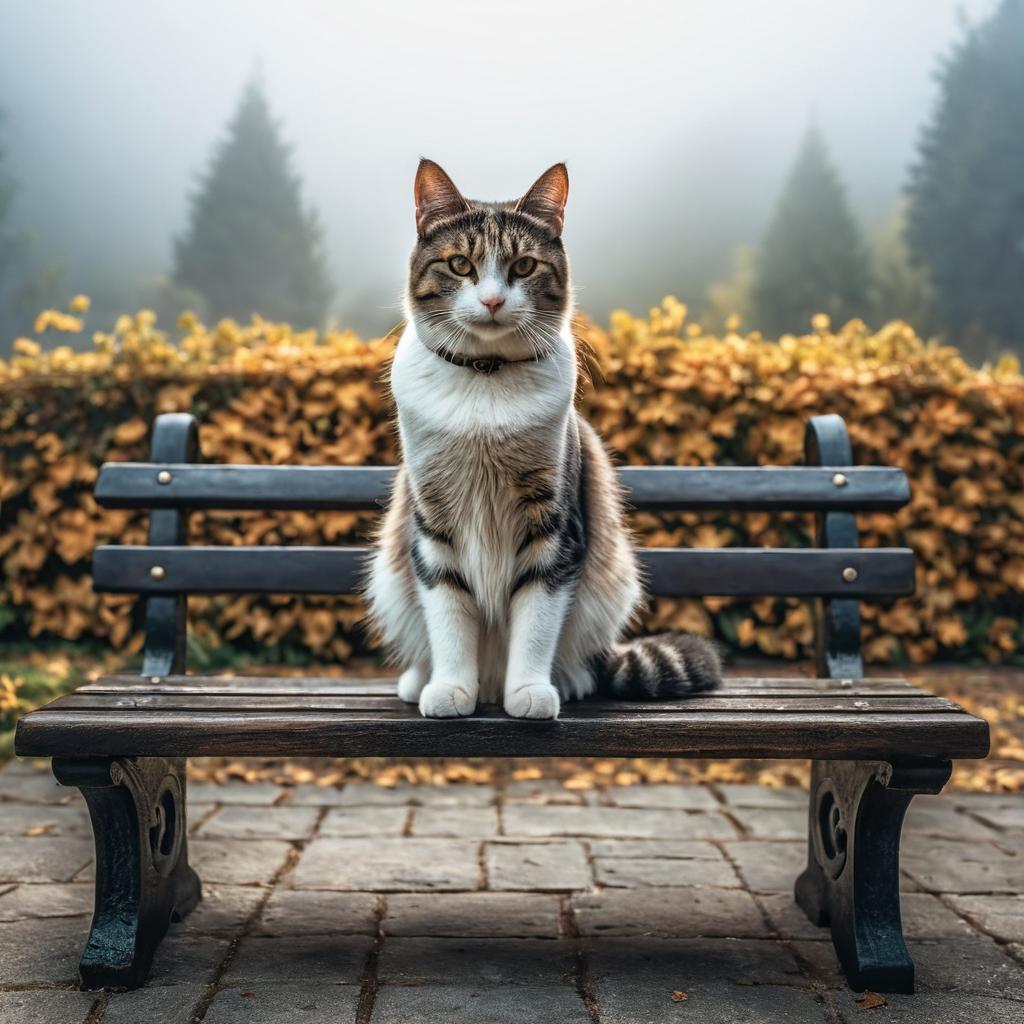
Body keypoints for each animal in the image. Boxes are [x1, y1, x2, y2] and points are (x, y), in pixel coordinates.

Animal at [366, 161, 720, 720]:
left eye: (525, 266)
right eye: (460, 264)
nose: (492, 300)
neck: (486, 378)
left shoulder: (553, 521)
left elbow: (538, 615)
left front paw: (530, 691)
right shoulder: (433, 519)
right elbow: (447, 612)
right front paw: (450, 688)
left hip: (611, 581)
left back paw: (567, 679)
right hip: (391, 577)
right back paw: (421, 680)